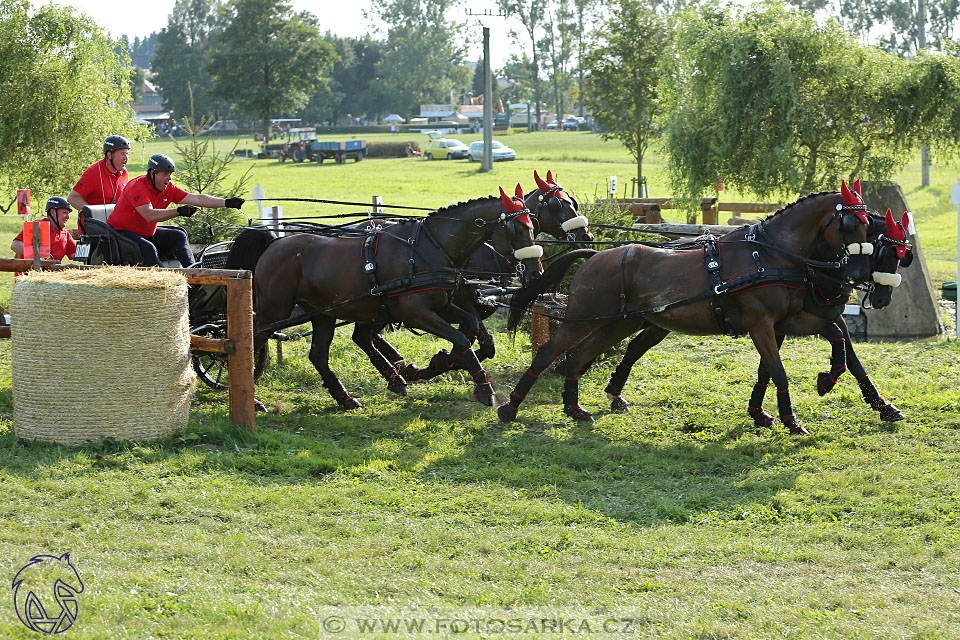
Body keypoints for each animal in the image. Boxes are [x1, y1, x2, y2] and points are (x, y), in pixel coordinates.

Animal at [225, 185, 540, 408]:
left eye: (533, 225)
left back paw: (346, 398)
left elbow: (473, 329)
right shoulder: (416, 314)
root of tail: (274, 242)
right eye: (518, 228)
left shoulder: (444, 305)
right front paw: (483, 388)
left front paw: (442, 363)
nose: (536, 271)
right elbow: (462, 338)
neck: (429, 248)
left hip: (324, 313)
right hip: (275, 311)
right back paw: (251, 397)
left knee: (319, 355)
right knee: (254, 340)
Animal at [498, 182, 872, 438]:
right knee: (548, 352)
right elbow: (778, 371)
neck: (768, 255)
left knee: (577, 355)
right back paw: (509, 407)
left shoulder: (788, 320)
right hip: (584, 318)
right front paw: (791, 421)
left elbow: (834, 332)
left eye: (869, 224)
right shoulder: (761, 324)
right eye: (850, 225)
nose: (856, 273)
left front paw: (827, 379)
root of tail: (595, 255)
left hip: (619, 324)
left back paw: (574, 408)